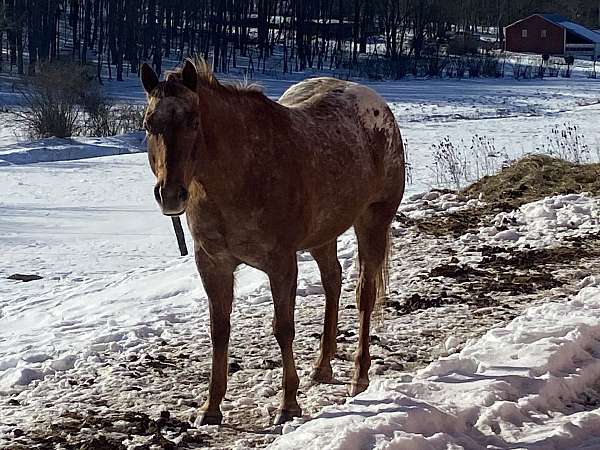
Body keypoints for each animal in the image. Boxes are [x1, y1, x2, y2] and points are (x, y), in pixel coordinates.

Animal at [139, 59, 404, 426]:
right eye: (149, 125)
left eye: (193, 121)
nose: (170, 194)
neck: (241, 173)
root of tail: (378, 105)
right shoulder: (213, 263)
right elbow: (219, 330)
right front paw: (211, 407)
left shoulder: (281, 263)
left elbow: (283, 328)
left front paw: (288, 404)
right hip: (323, 235)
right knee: (333, 281)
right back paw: (322, 366)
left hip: (372, 223)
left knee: (364, 295)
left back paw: (358, 377)